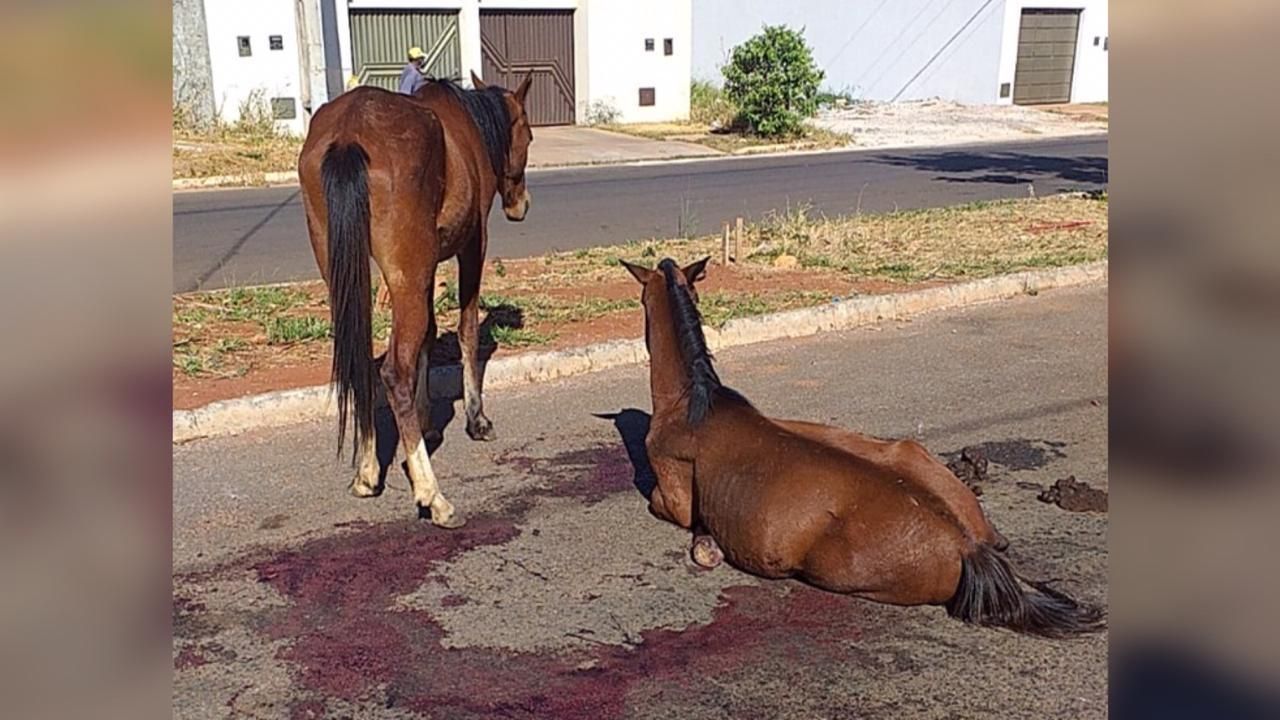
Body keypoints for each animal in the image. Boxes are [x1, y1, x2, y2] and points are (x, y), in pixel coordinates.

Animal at [296, 73, 532, 525]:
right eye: (528, 135)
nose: (521, 205)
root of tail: (349, 133)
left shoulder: (428, 266)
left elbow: (428, 336)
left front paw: (426, 422)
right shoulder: (471, 247)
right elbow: (466, 330)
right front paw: (476, 419)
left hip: (346, 272)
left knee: (360, 363)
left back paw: (368, 471)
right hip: (408, 274)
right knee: (393, 373)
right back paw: (431, 494)